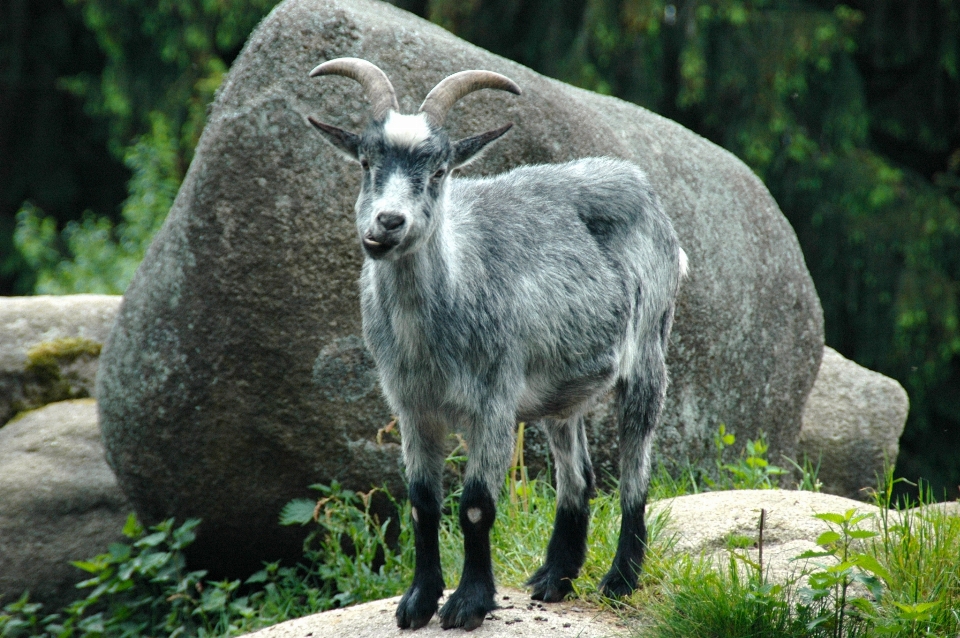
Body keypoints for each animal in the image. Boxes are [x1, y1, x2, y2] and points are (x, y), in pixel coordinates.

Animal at [308, 57, 684, 632]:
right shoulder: (412, 407)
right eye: (366, 163)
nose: (388, 223)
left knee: (633, 471)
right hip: (561, 389)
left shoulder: (493, 402)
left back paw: (619, 580)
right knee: (578, 475)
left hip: (648, 350)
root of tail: (642, 186)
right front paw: (417, 602)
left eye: (439, 172)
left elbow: (476, 505)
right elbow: (422, 503)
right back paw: (555, 578)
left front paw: (469, 603)